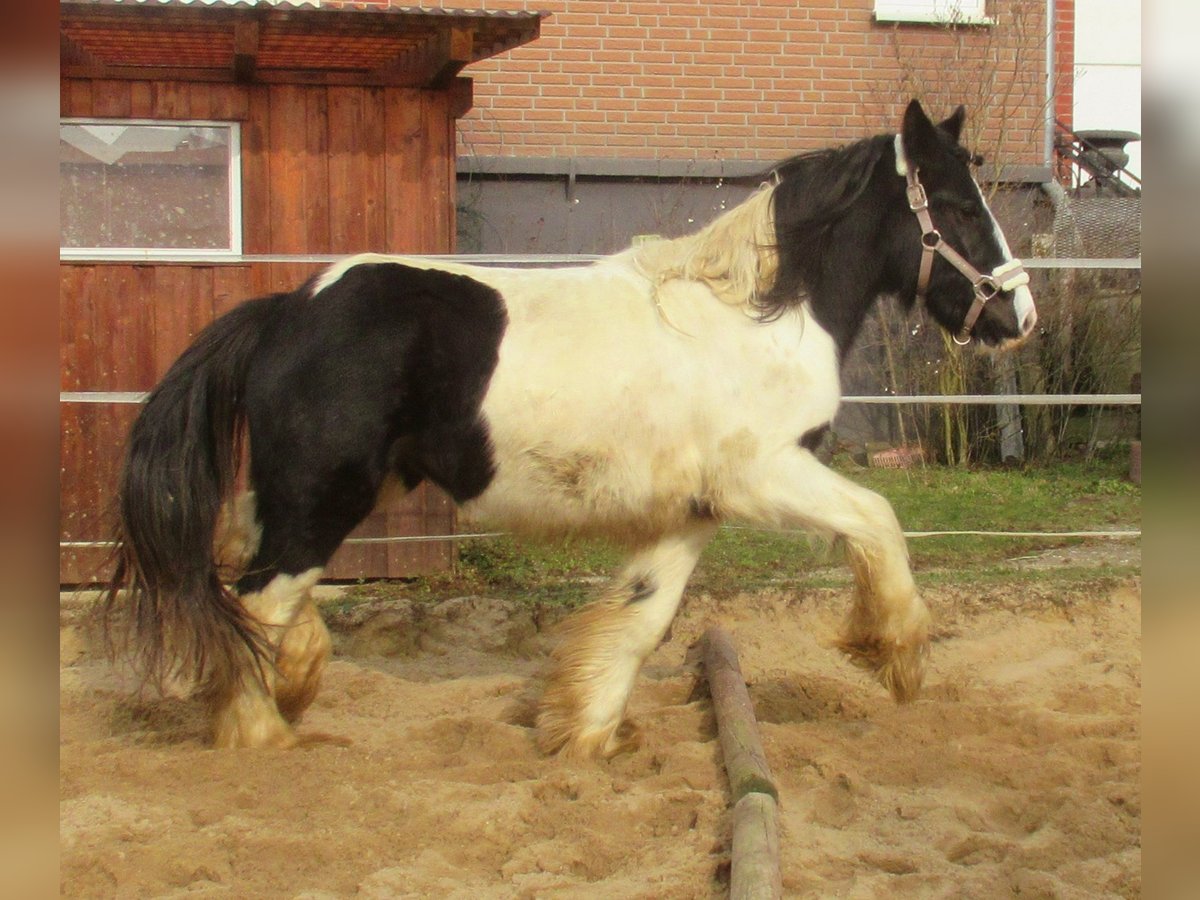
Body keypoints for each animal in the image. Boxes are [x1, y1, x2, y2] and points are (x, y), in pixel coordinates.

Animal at [100, 100, 1041, 763]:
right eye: (958, 205)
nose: (1020, 315)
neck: (763, 315)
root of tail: (286, 310)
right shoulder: (766, 477)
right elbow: (880, 519)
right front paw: (898, 656)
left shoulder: (691, 513)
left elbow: (641, 617)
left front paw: (584, 735)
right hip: (323, 497)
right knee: (255, 597)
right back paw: (263, 732)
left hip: (325, 490)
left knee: (241, 562)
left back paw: (294, 684)